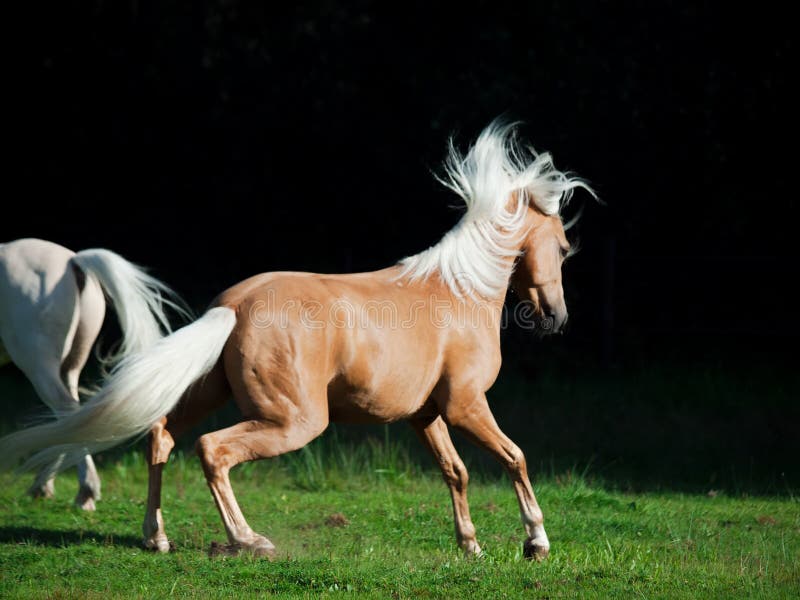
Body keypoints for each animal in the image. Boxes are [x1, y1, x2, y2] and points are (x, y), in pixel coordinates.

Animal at [0, 239, 186, 510]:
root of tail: (73, 261)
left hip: (38, 364)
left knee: (67, 412)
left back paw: (82, 491)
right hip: (69, 366)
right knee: (72, 417)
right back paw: (46, 485)